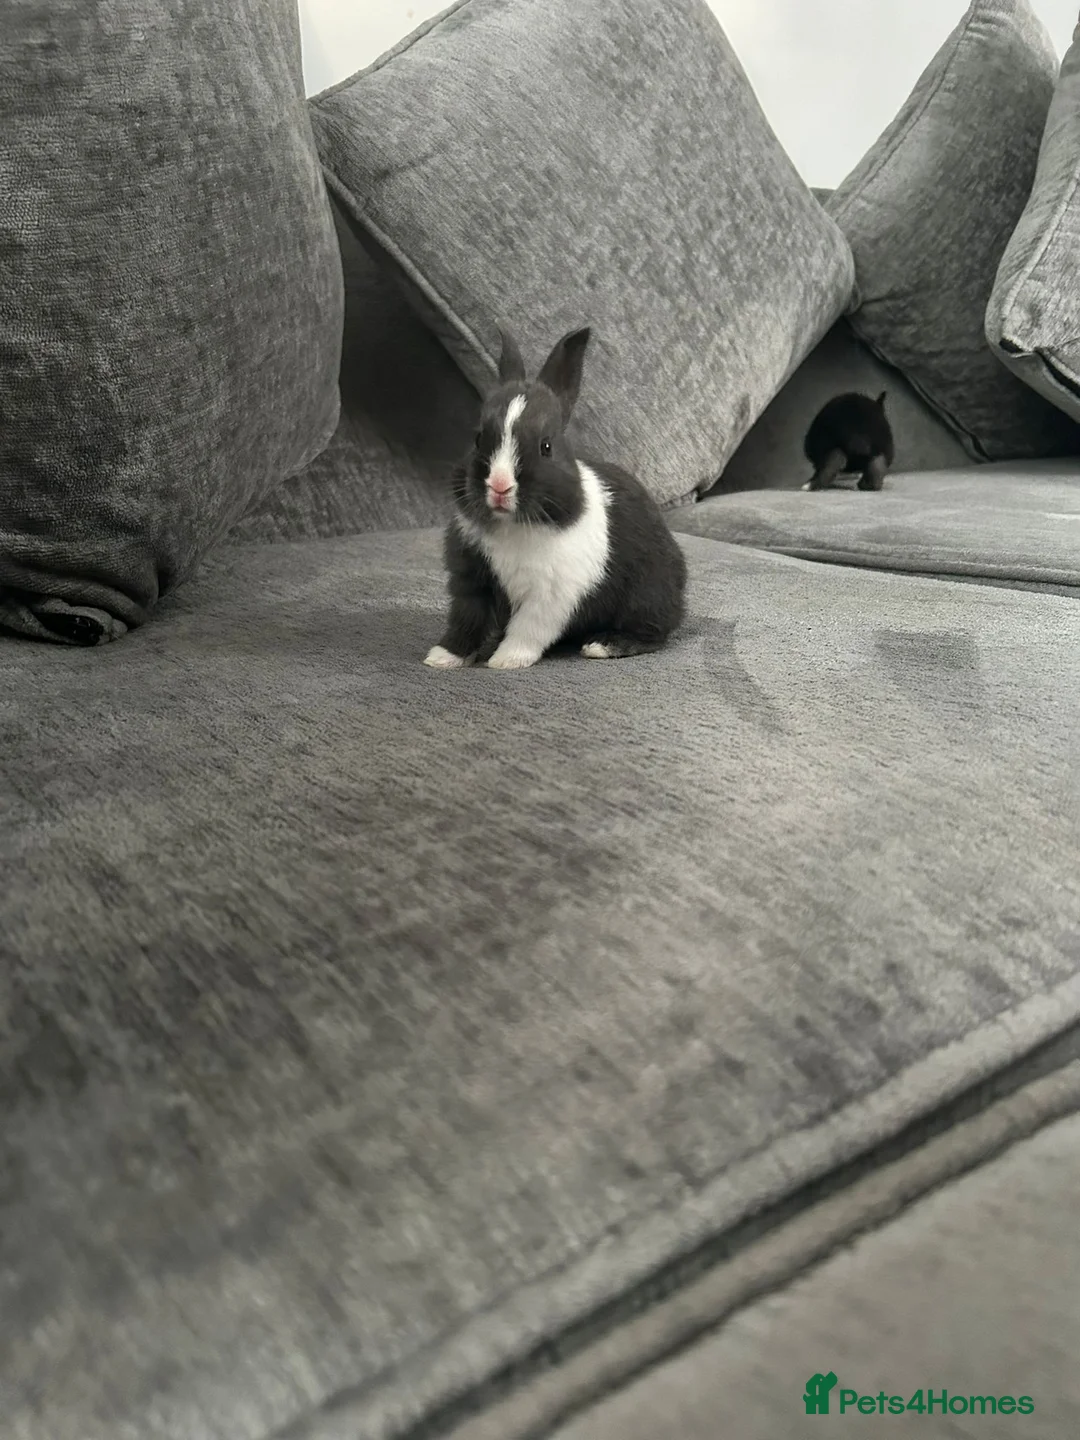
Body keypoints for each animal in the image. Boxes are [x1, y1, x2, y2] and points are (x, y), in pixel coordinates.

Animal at [424, 326, 687, 671]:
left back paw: (602, 645)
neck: (511, 526)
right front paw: (441, 657)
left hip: (646, 595)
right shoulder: (472, 583)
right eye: (479, 438)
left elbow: (528, 629)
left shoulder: (551, 596)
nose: (499, 485)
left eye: (545, 446)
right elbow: (466, 622)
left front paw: (505, 660)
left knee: (652, 633)